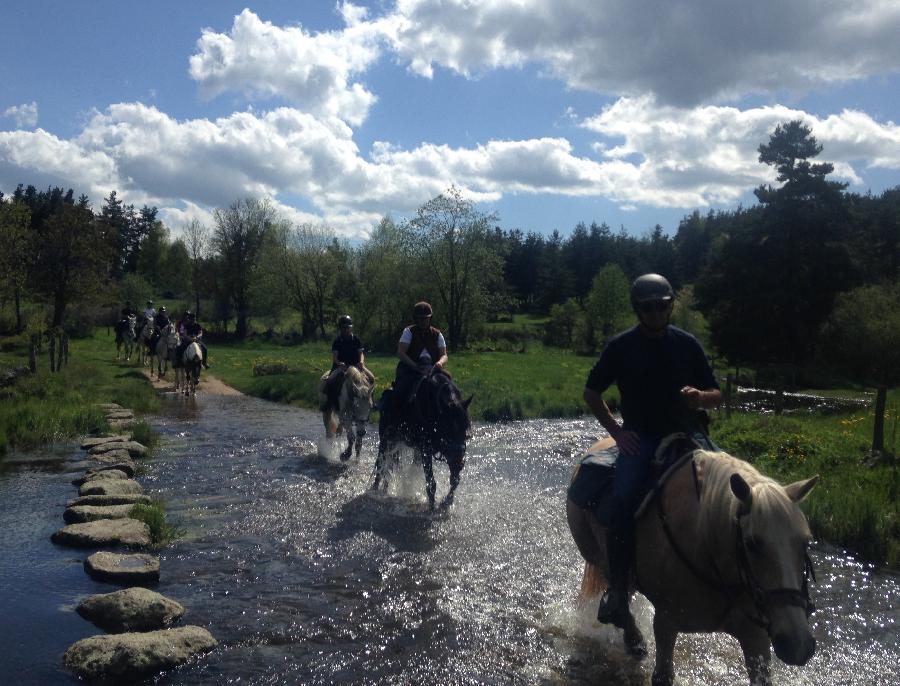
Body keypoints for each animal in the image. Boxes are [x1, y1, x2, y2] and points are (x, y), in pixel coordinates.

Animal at [372, 370, 472, 510]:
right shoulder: (426, 450)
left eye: (465, 431)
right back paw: (375, 489)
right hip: (386, 439)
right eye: (448, 428)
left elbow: (455, 480)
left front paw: (446, 502)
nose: (460, 463)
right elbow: (431, 482)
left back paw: (386, 489)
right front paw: (432, 507)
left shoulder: (450, 454)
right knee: (380, 463)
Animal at [568, 438, 824, 684]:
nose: (797, 645)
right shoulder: (666, 621)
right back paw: (634, 641)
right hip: (601, 560)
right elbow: (663, 675)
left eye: (806, 542)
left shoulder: (755, 634)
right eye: (752, 543)